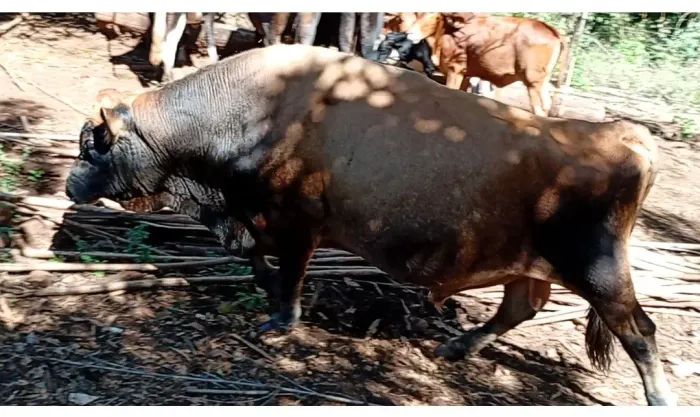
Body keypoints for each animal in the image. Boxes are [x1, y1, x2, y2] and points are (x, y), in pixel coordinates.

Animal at [65, 44, 676, 406]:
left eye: (96, 143)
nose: (70, 185)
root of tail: (621, 133)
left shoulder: (295, 223)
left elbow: (287, 274)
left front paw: (278, 321)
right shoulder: (256, 219)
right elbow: (253, 256)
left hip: (600, 273)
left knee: (638, 331)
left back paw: (660, 398)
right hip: (531, 266)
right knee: (520, 307)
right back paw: (454, 349)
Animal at [387, 12, 568, 117]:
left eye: (435, 16)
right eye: (416, 14)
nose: (410, 33)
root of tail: (550, 29)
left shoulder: (455, 69)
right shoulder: (464, 74)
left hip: (533, 81)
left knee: (540, 108)